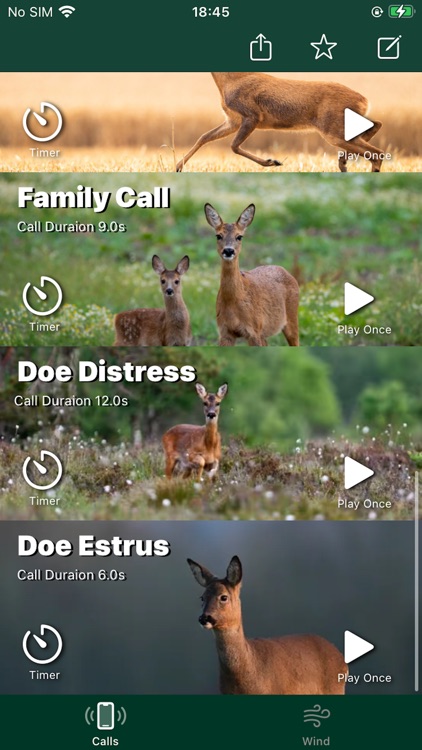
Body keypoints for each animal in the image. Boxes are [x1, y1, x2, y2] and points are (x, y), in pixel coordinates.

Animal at [176, 72, 384, 173]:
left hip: (332, 129)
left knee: (378, 152)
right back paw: (343, 162)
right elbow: (204, 137)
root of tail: (365, 100)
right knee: (376, 126)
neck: (230, 81)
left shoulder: (252, 115)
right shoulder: (232, 120)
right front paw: (178, 166)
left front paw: (272, 162)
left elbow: (234, 146)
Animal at [205, 203, 299, 346]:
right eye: (218, 235)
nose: (228, 251)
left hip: (291, 317)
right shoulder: (224, 332)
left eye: (239, 236)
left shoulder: (254, 331)